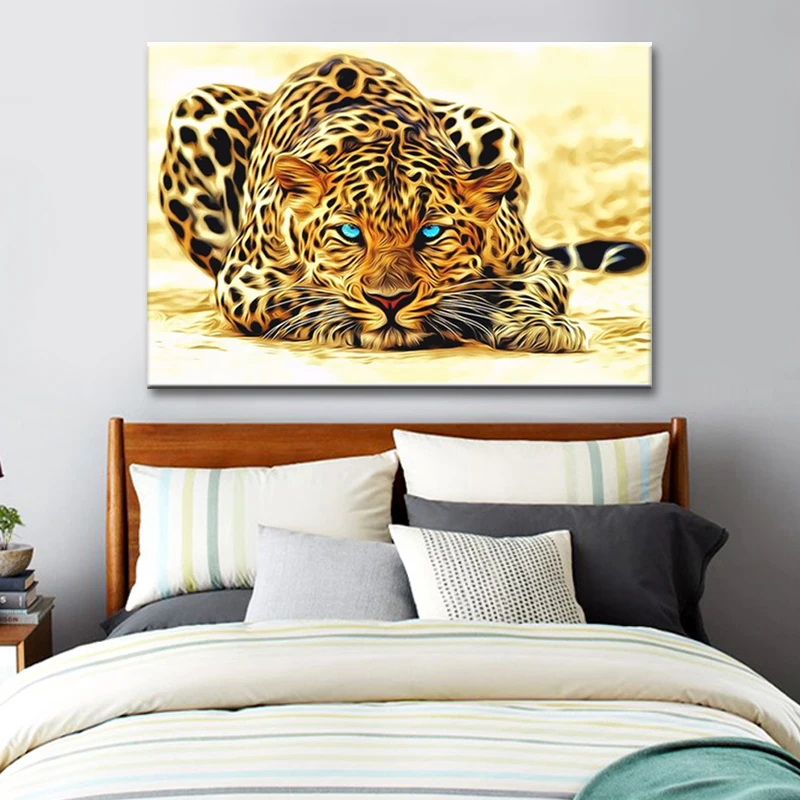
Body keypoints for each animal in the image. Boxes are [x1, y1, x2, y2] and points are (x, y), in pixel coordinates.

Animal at [158, 54, 647, 352]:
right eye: (350, 232)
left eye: (431, 232)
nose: (389, 302)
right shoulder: (242, 280)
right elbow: (295, 298)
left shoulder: (534, 265)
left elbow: (521, 288)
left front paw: (536, 325)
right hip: (196, 106)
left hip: (491, 123)